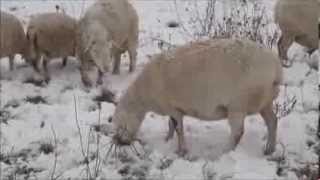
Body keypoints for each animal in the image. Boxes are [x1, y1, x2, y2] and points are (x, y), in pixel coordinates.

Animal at [110, 38, 282, 157]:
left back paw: (226, 152)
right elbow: (171, 125)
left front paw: (181, 150)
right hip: (265, 101)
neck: (144, 96)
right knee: (273, 121)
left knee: (238, 132)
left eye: (120, 123)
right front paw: (167, 139)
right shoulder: (173, 108)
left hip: (238, 104)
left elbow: (178, 128)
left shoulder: (172, 108)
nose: (119, 142)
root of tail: (276, 68)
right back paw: (270, 149)